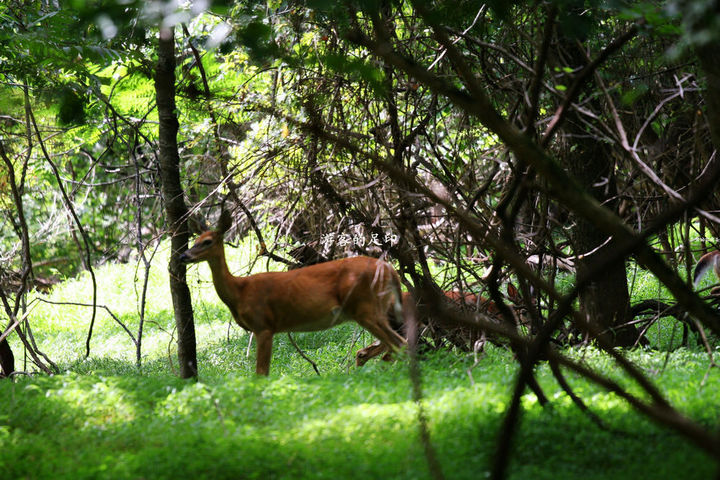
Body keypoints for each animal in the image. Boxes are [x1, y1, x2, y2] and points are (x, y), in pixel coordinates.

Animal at [178, 210, 408, 376]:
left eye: (207, 242)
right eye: (194, 240)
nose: (183, 256)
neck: (239, 291)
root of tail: (390, 270)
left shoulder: (263, 325)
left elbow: (261, 374)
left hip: (365, 307)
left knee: (399, 344)